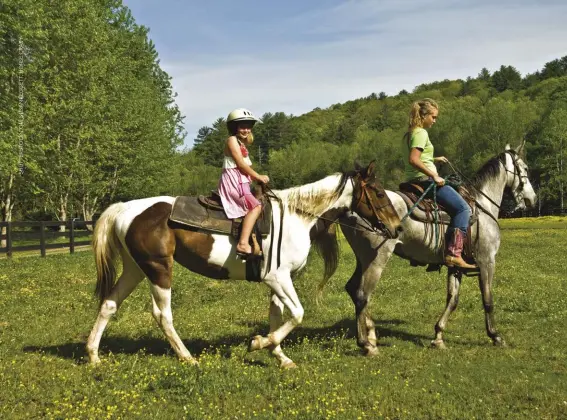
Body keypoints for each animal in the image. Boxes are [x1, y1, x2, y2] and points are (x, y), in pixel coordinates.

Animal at [86, 162, 402, 370]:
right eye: (378, 192)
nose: (397, 228)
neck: (297, 217)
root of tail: (125, 208)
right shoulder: (278, 278)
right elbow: (297, 314)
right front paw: (259, 343)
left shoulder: (277, 281)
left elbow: (278, 316)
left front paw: (279, 356)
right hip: (158, 269)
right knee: (162, 315)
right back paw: (187, 356)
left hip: (135, 269)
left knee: (109, 304)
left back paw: (93, 355)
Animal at [336, 144, 540, 354]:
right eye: (524, 168)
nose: (532, 200)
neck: (482, 207)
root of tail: (350, 209)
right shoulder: (487, 261)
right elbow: (488, 300)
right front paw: (495, 336)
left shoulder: (456, 265)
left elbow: (452, 299)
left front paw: (439, 336)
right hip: (376, 260)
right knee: (362, 294)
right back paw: (367, 343)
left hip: (363, 259)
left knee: (353, 289)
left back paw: (371, 335)